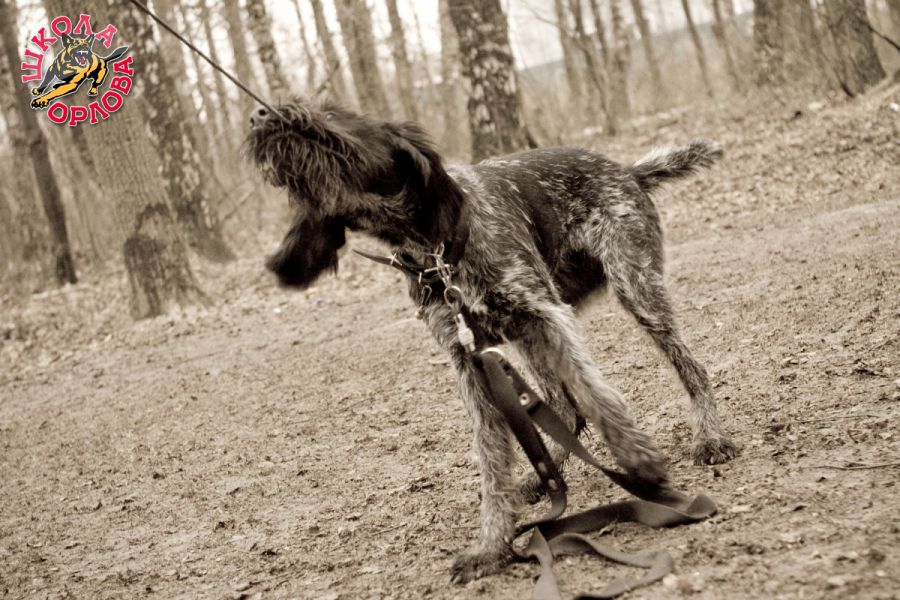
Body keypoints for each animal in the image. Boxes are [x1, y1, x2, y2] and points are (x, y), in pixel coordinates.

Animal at [246, 100, 738, 583]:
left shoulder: (549, 314)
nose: (259, 116)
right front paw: (492, 546)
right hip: (527, 337)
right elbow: (493, 464)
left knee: (688, 369)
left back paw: (711, 438)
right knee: (564, 409)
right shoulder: (471, 360)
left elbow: (597, 394)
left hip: (632, 290)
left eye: (333, 112)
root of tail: (627, 172)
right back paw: (546, 476)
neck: (434, 250)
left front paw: (639, 460)